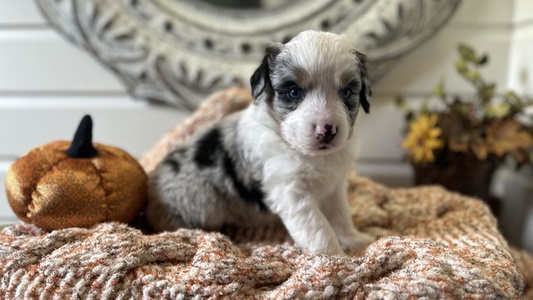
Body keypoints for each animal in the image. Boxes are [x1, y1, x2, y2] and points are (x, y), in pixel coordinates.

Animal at [148, 29, 374, 255]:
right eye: (294, 92)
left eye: (346, 92)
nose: (326, 129)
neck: (311, 155)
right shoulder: (292, 192)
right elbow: (319, 229)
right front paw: (336, 257)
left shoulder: (335, 186)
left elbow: (341, 216)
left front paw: (356, 241)